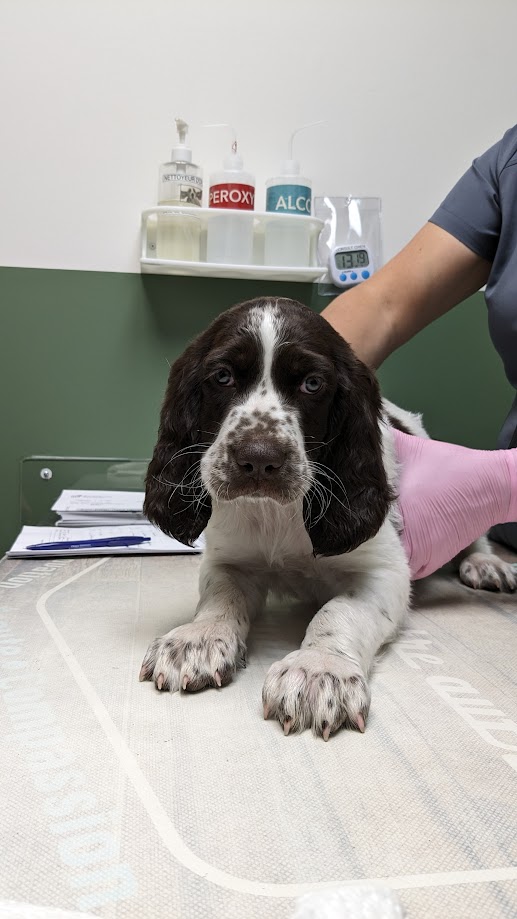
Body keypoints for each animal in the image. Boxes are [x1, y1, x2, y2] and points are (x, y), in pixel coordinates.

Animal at [140, 296, 512, 740]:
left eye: (313, 384)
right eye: (223, 376)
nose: (259, 459)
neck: (277, 514)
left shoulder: (384, 573)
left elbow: (338, 612)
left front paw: (319, 668)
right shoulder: (228, 560)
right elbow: (220, 596)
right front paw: (197, 637)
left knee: (475, 529)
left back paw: (485, 563)